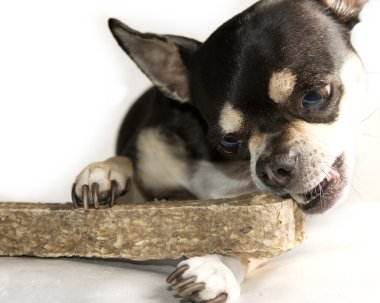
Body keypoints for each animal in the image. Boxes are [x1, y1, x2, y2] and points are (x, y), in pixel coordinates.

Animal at [72, 1, 366, 302]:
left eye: (314, 97)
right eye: (229, 142)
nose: (272, 168)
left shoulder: (282, 221)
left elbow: (253, 242)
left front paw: (219, 265)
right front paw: (107, 172)